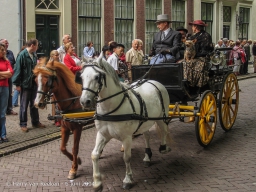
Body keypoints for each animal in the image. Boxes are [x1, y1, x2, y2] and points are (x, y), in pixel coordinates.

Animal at [79, 56, 172, 190]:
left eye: (97, 77)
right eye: (81, 76)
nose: (84, 101)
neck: (110, 108)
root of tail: (154, 82)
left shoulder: (127, 137)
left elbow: (127, 158)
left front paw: (128, 179)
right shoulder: (102, 134)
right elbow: (94, 155)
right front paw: (97, 182)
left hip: (160, 117)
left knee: (164, 130)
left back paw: (163, 148)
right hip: (145, 122)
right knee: (147, 135)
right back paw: (147, 156)